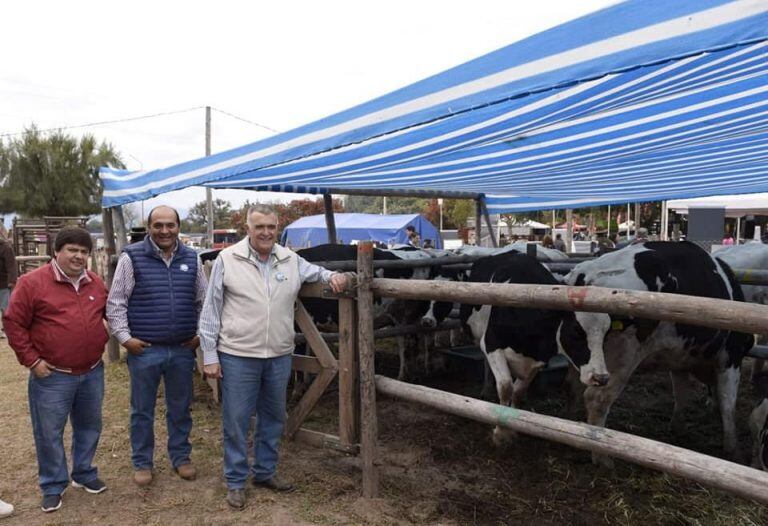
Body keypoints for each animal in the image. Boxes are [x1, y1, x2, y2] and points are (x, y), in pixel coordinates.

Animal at [460, 252, 608, 446]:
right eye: (577, 331)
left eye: (607, 333)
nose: (601, 378)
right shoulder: (492, 345)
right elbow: (506, 387)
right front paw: (500, 433)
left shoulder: (537, 360)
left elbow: (518, 392)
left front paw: (514, 426)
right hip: (479, 338)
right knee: (485, 363)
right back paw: (486, 389)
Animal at [560, 241, 752, 464]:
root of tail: (588, 272)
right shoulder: (731, 357)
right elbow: (728, 402)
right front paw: (732, 450)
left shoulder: (679, 359)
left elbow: (681, 393)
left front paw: (677, 427)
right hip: (623, 357)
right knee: (596, 399)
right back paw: (602, 458)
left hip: (586, 359)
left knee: (571, 386)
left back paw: (571, 429)